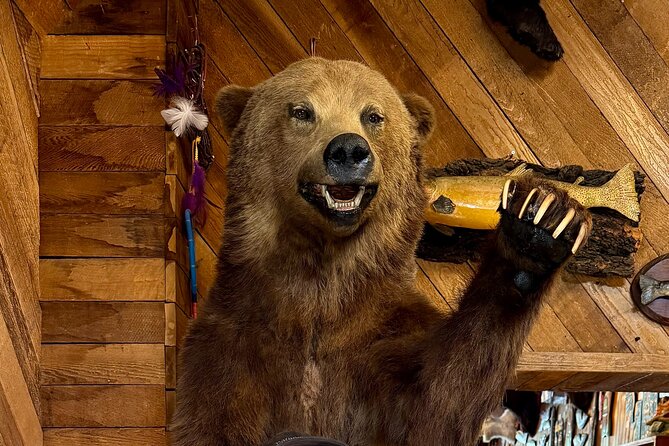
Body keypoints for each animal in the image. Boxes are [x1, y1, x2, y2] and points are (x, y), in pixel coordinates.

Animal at [171, 57, 590, 446]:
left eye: (373, 115)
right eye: (301, 111)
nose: (347, 149)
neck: (322, 293)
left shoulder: (384, 343)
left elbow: (441, 397)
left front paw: (541, 219)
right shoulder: (235, 341)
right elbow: (214, 418)